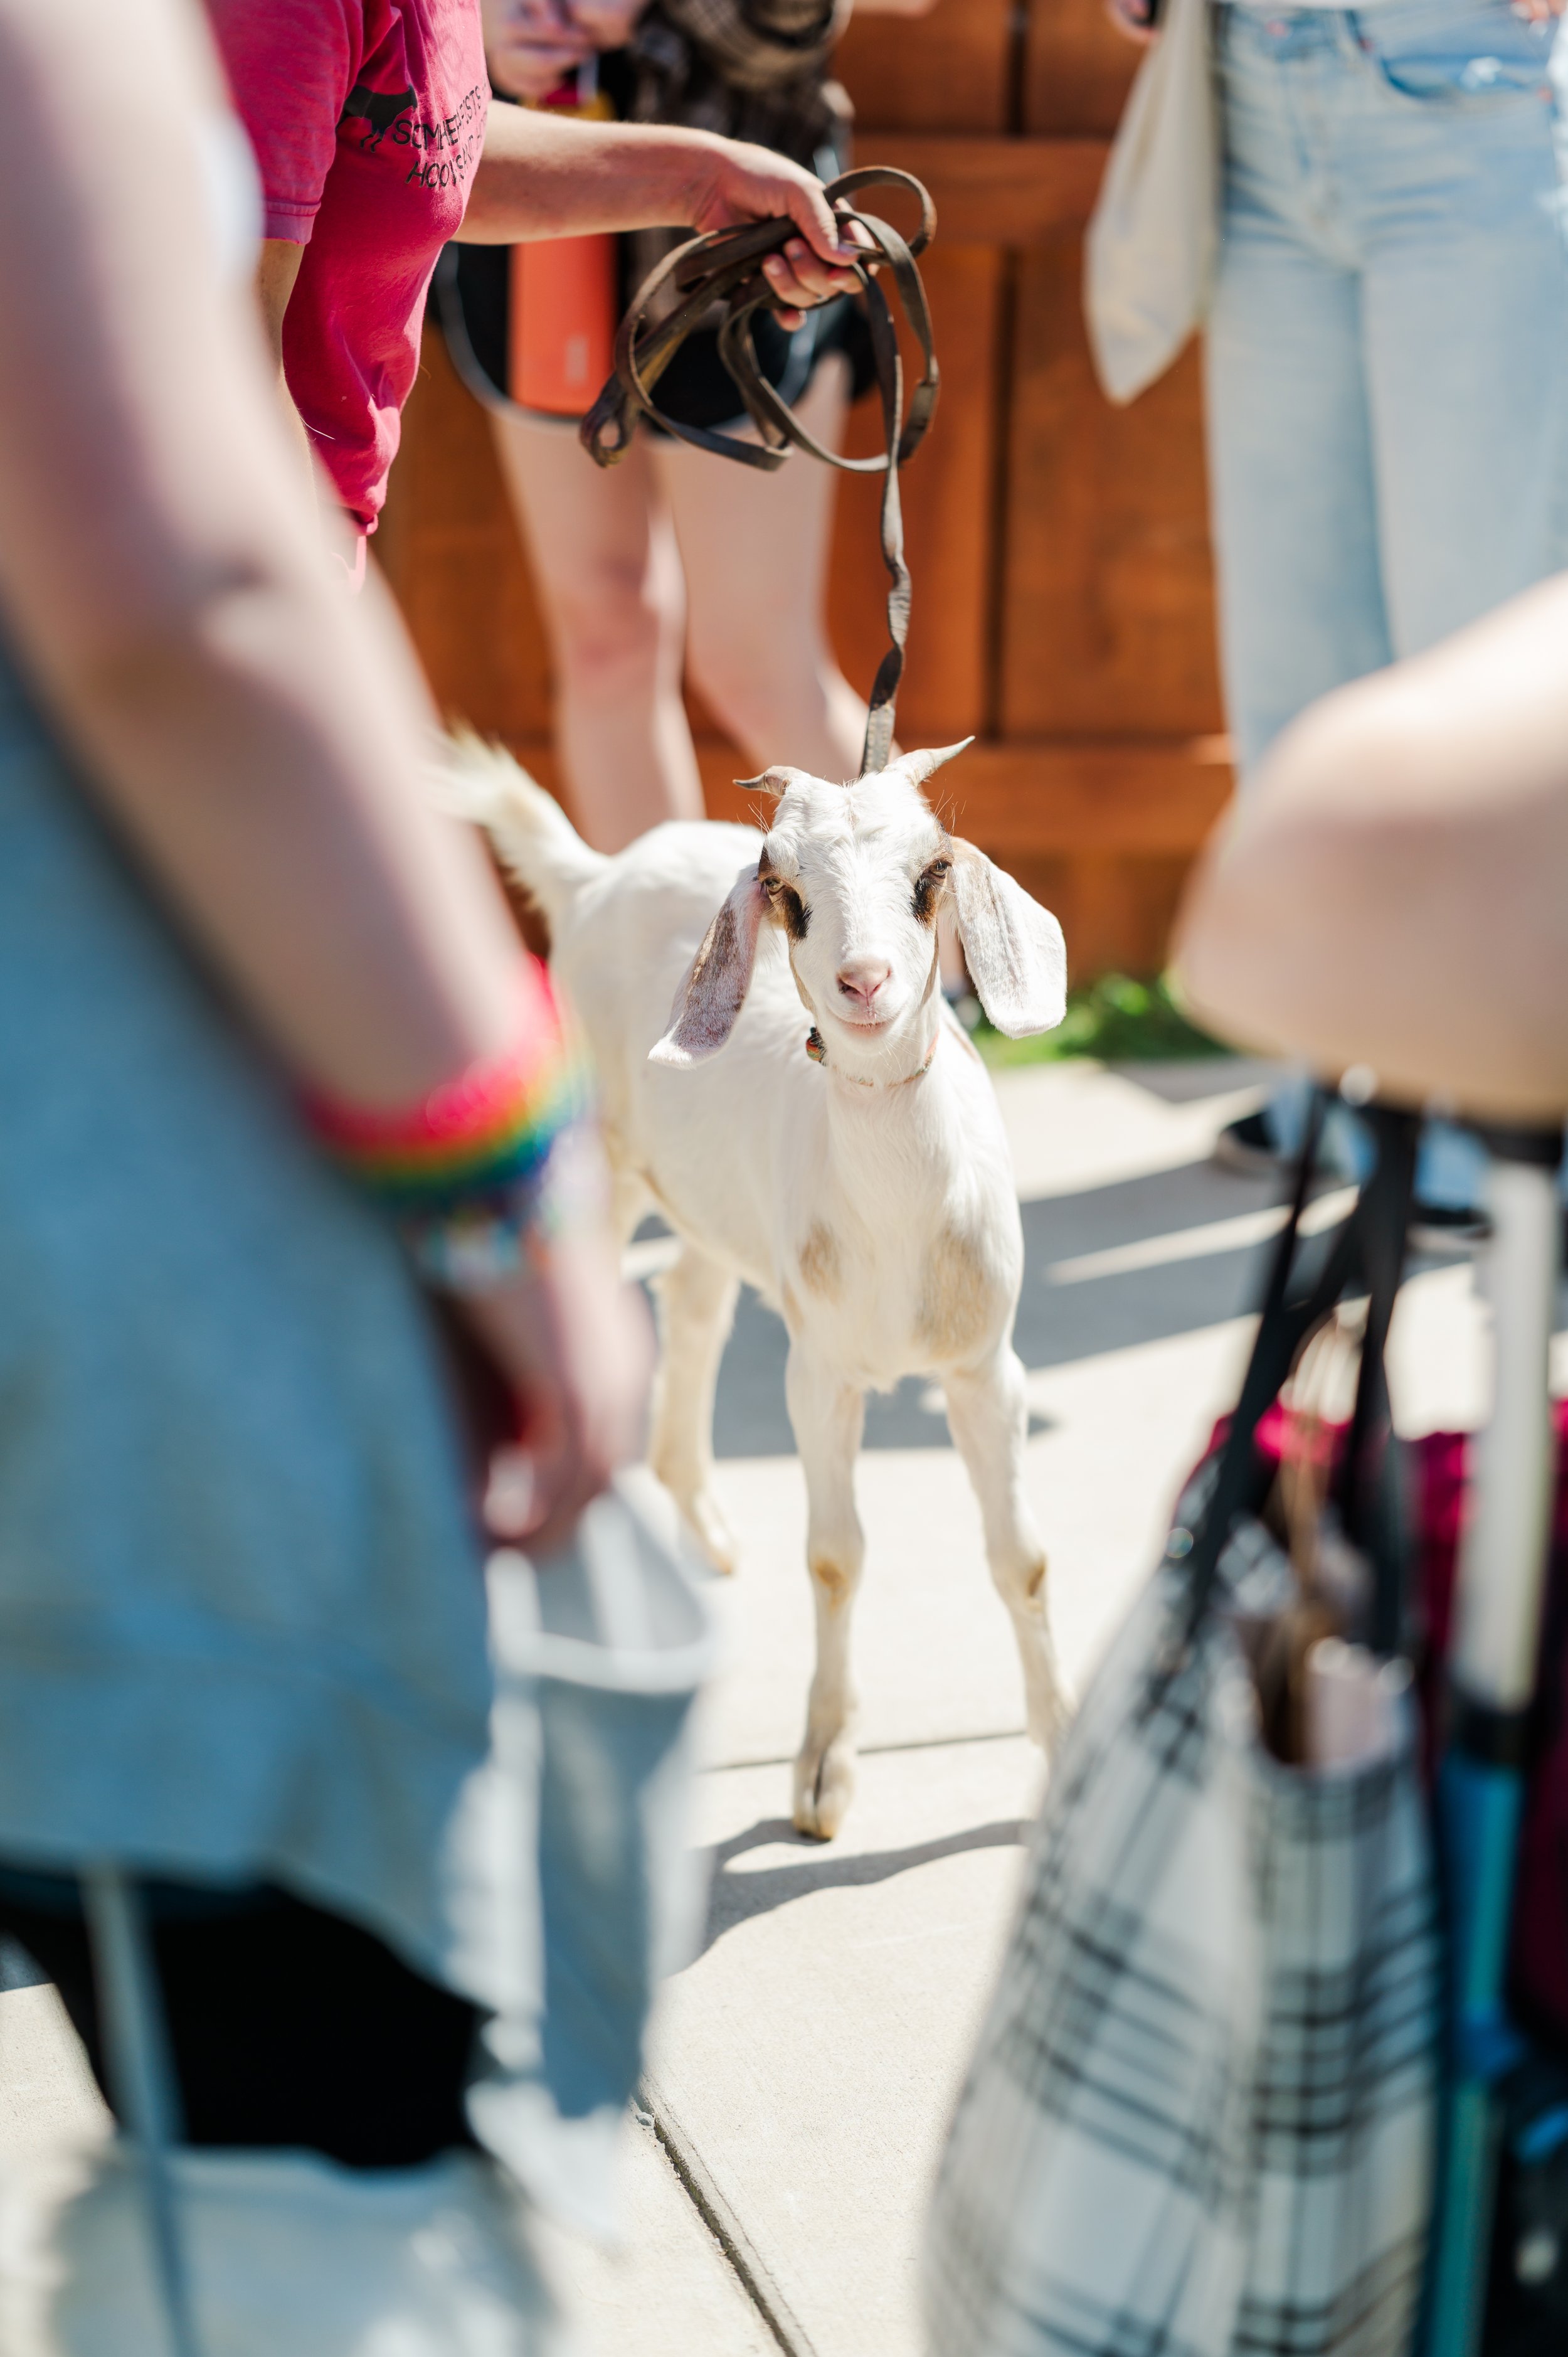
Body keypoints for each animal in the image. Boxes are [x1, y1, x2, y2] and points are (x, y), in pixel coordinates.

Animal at [451, 738, 1069, 1839]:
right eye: (786, 890)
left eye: (931, 873)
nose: (863, 983)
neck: (899, 1229)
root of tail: (593, 874)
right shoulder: (817, 1371)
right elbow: (835, 1556)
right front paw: (823, 1774)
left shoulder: (986, 1365)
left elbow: (1021, 1558)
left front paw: (1058, 1755)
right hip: (599, 1160)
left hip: (712, 1202)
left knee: (691, 1303)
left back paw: (704, 1525)